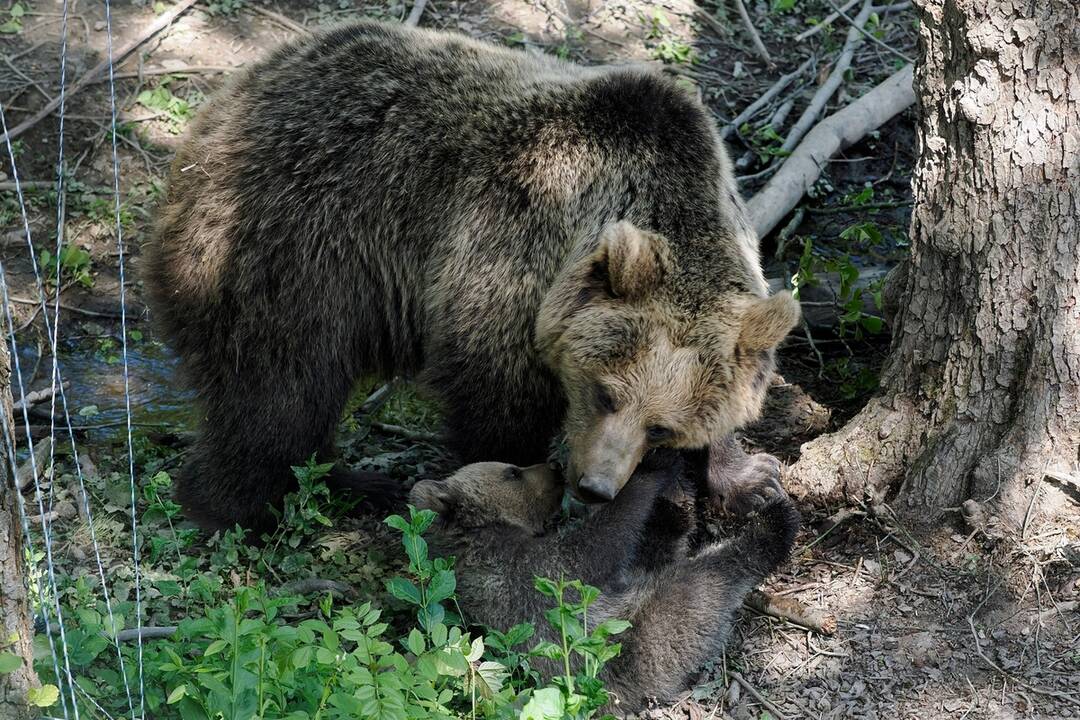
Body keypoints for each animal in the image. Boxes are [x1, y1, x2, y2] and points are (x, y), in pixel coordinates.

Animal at [147, 21, 799, 528]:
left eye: (662, 429)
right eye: (604, 392)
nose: (596, 487)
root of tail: (227, 99)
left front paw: (752, 478)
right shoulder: (514, 248)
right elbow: (494, 397)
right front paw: (508, 487)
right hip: (291, 239)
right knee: (280, 386)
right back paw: (248, 504)